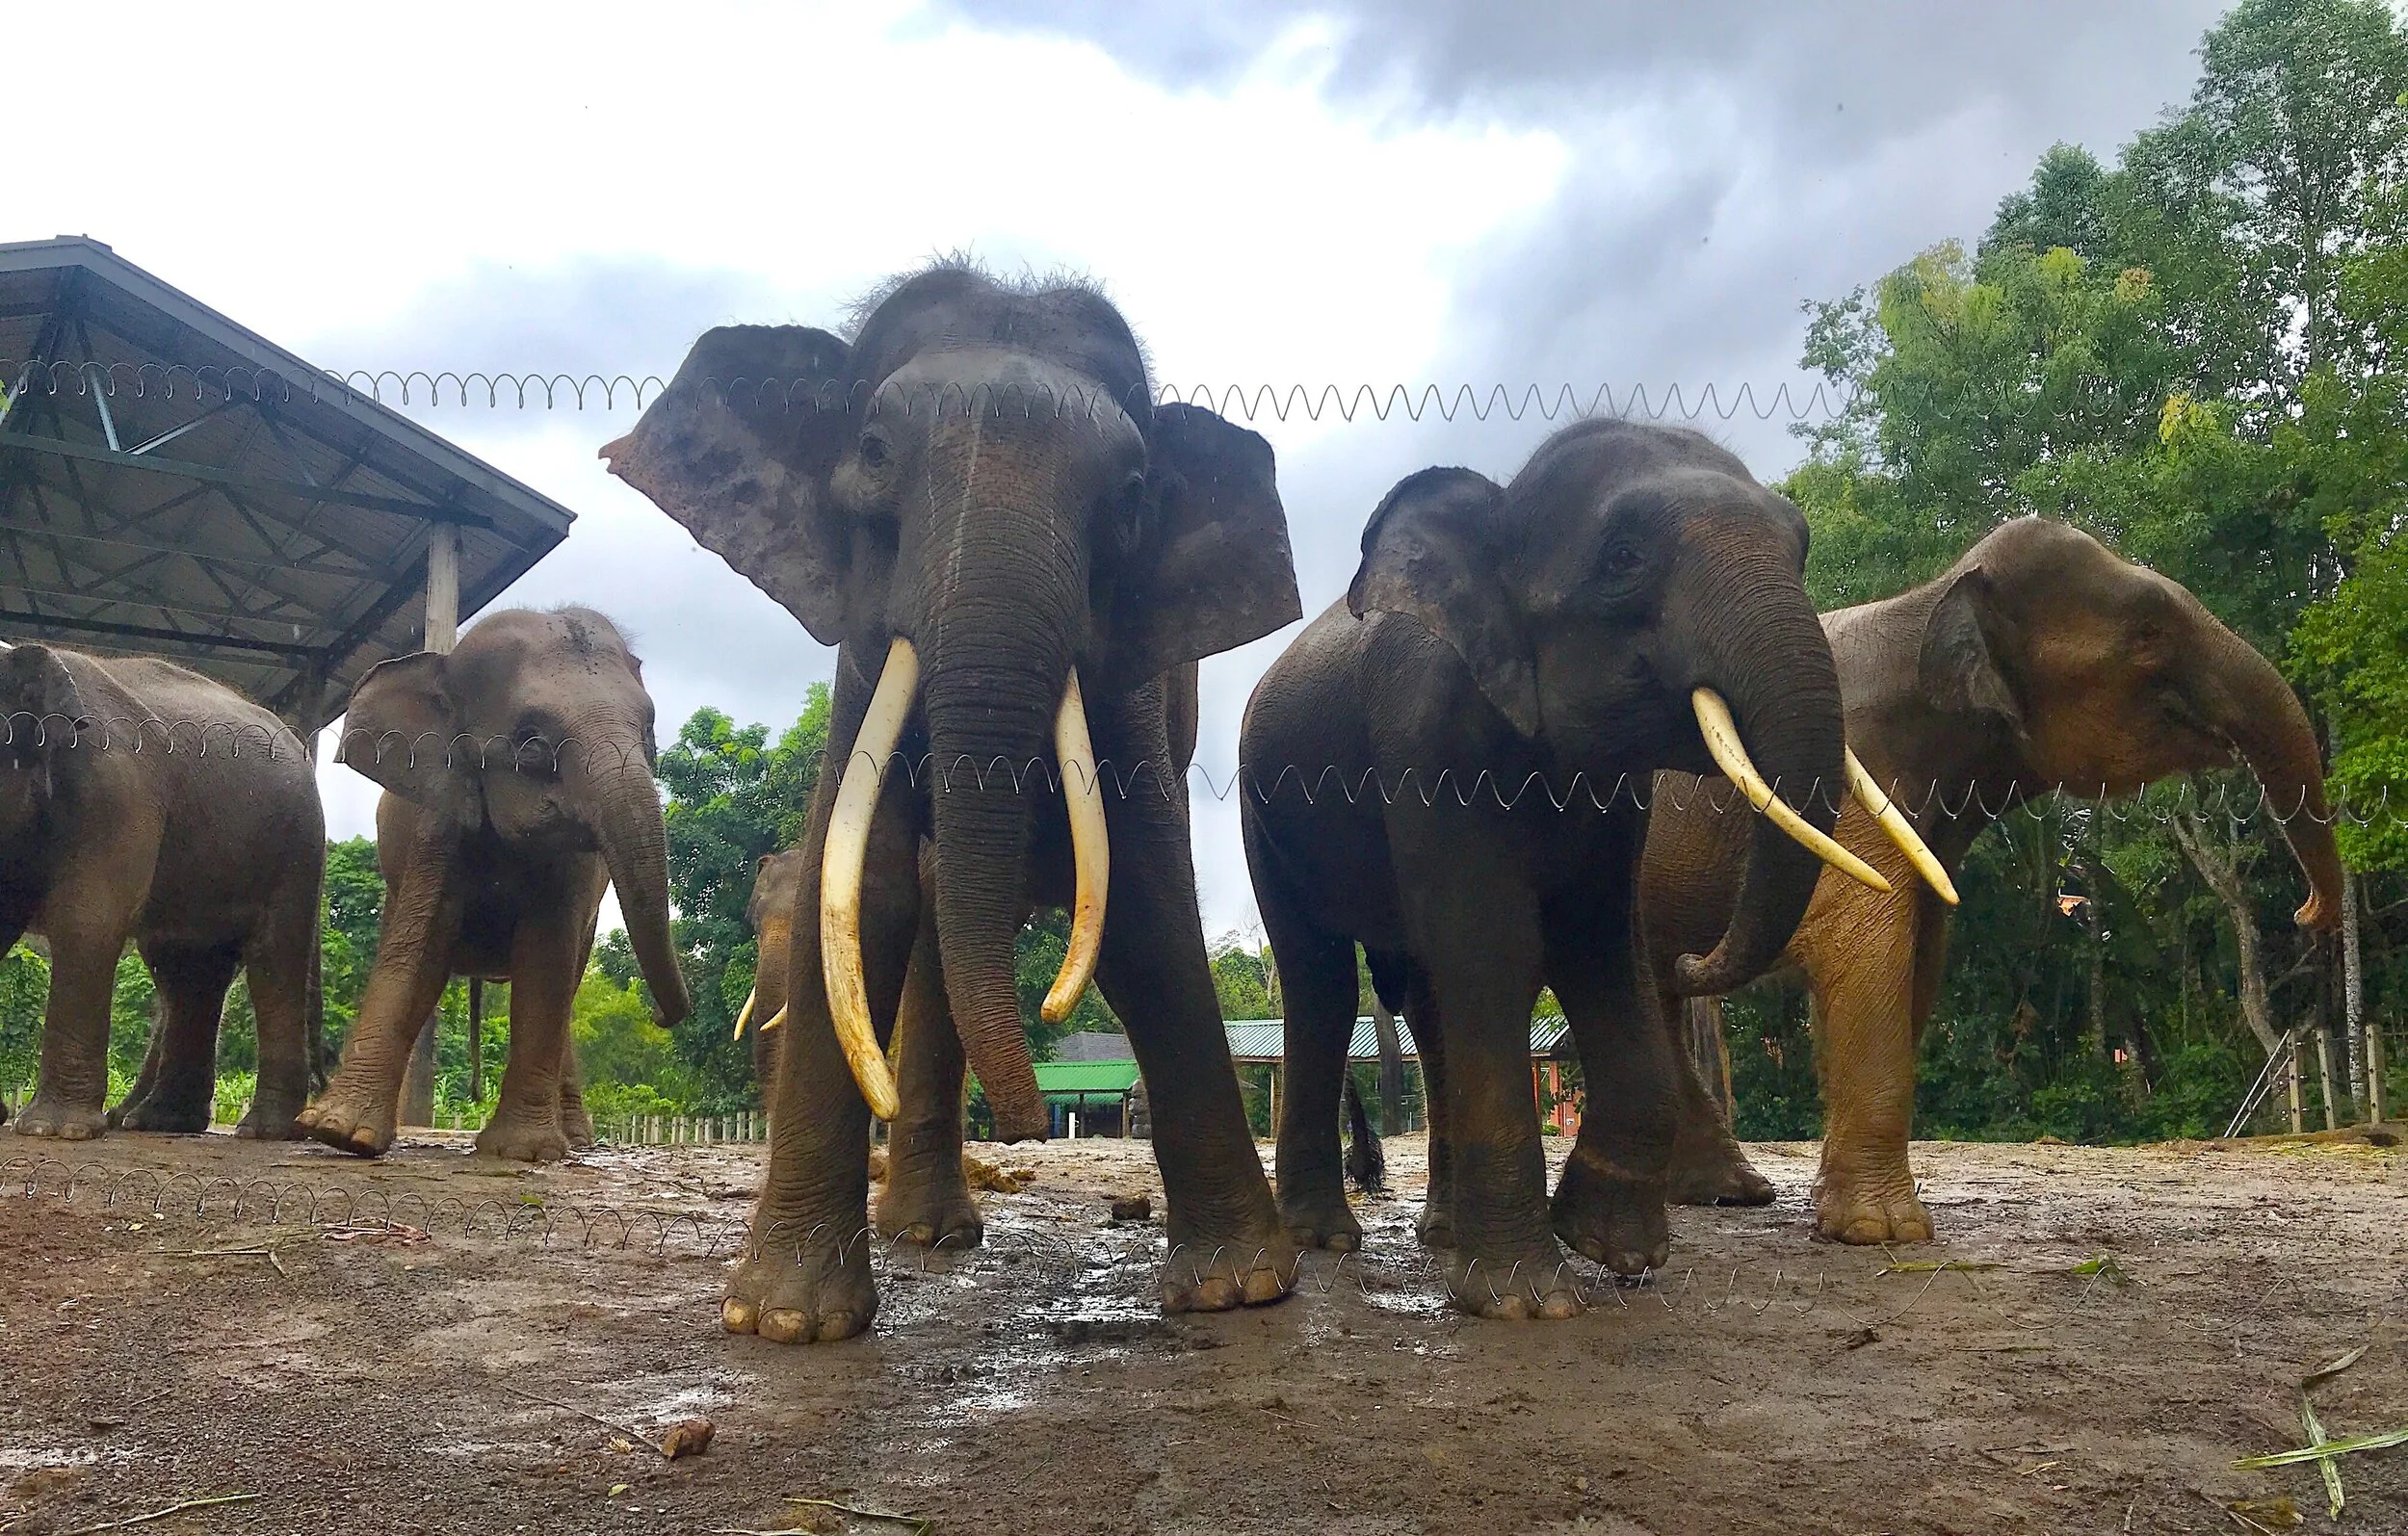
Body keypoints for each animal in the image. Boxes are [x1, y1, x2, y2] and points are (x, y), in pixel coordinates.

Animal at [1, 645, 323, 1140]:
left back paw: (263, 1131)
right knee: (187, 969)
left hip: (295, 843)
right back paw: (161, 1121)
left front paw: (50, 1131)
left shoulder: (115, 794)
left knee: (274, 956)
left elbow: (87, 918)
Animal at [295, 606, 693, 1162]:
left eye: (650, 733)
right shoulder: (437, 821)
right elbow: (419, 949)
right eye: (531, 742)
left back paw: (576, 1141)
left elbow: (545, 955)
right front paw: (338, 1133)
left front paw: (523, 1152)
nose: (659, 1015)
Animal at [603, 261, 1306, 1344]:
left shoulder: (1134, 677)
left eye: (1131, 496)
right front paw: (784, 1321)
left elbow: (1145, 904)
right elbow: (862, 890)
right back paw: (928, 1233)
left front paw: (1240, 1290)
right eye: (873, 452)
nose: (1025, 1123)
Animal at [1241, 421, 1903, 1319]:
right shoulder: (1425, 743)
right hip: (1263, 813)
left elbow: (1599, 943)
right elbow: (1497, 948)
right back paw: (1330, 1239)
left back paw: (1441, 1232)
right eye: (1623, 557)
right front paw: (1529, 1301)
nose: (1694, 957)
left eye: (1801, 546)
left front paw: (1612, 1247)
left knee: (1421, 997)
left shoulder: (1616, 799)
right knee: (1320, 981)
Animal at [1641, 516, 2348, 1244]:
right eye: (2149, 633)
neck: (1927, 602)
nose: (2306, 913)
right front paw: (1883, 1232)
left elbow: (1919, 957)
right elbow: (1867, 947)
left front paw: (1851, 1218)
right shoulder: (1845, 779)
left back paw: (1727, 1193)